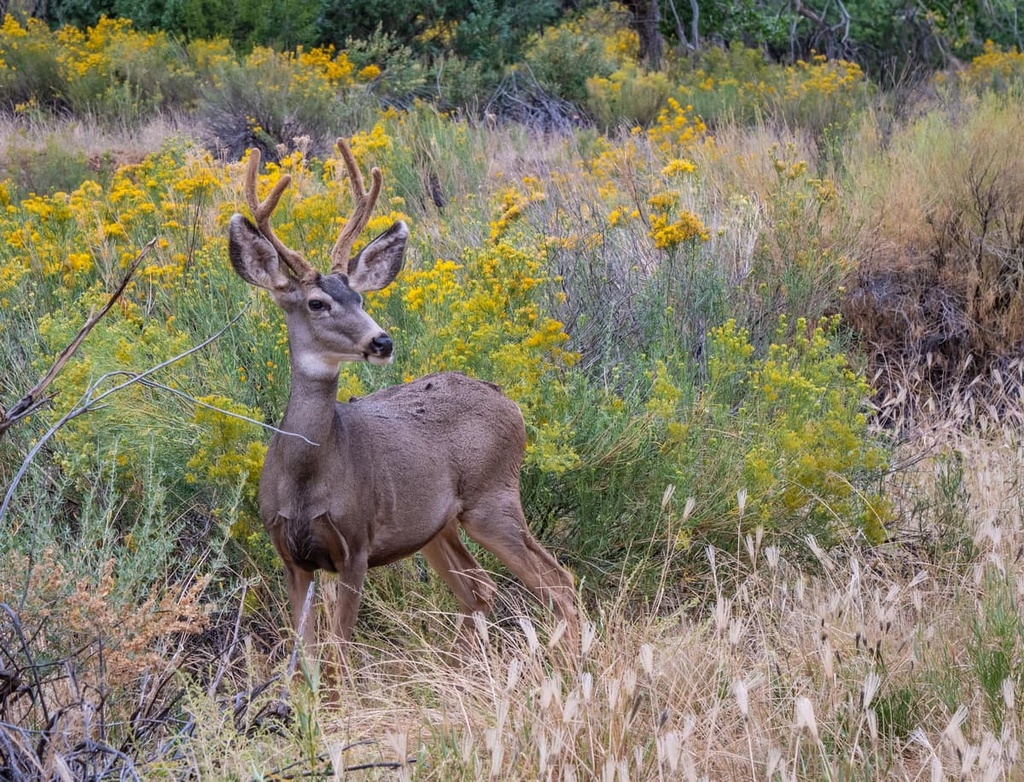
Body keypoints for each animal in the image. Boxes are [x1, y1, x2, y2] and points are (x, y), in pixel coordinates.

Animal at [227, 138, 579, 674]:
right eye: (316, 303)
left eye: (359, 296)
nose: (382, 341)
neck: (307, 477)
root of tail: (508, 400)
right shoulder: (290, 556)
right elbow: (305, 658)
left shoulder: (355, 545)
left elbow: (339, 656)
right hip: (437, 527)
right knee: (480, 588)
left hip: (492, 496)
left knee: (558, 582)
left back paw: (574, 664)